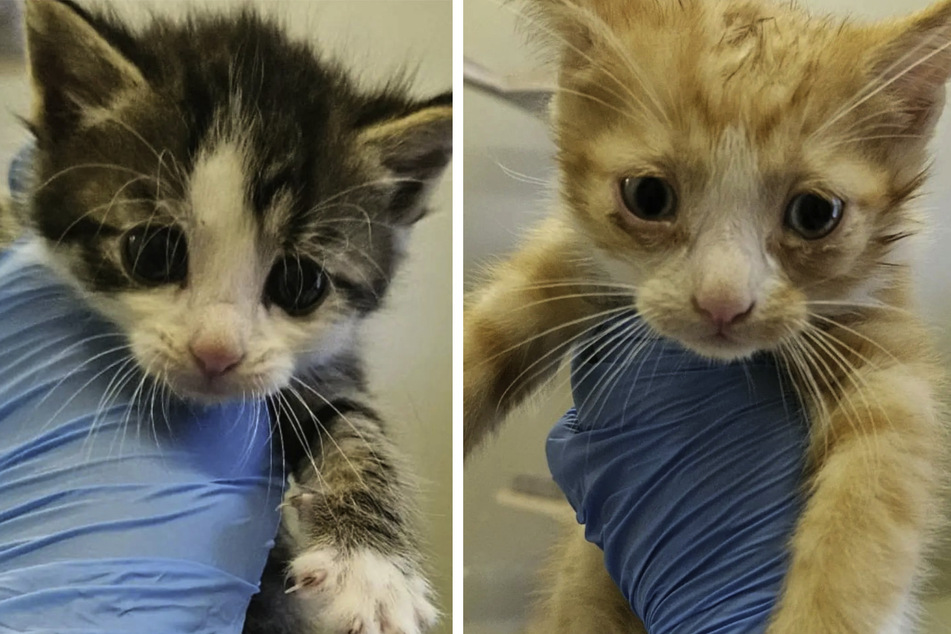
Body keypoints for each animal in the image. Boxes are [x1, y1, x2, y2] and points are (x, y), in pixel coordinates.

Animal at [14, 1, 452, 632]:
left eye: (300, 283)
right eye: (152, 252)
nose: (216, 351)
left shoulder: (325, 365)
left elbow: (358, 427)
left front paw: (372, 570)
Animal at [464, 0, 951, 628]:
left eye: (816, 213)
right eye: (648, 196)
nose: (723, 300)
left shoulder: (889, 346)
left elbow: (875, 489)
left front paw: (820, 614)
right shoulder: (570, 256)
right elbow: (489, 329)